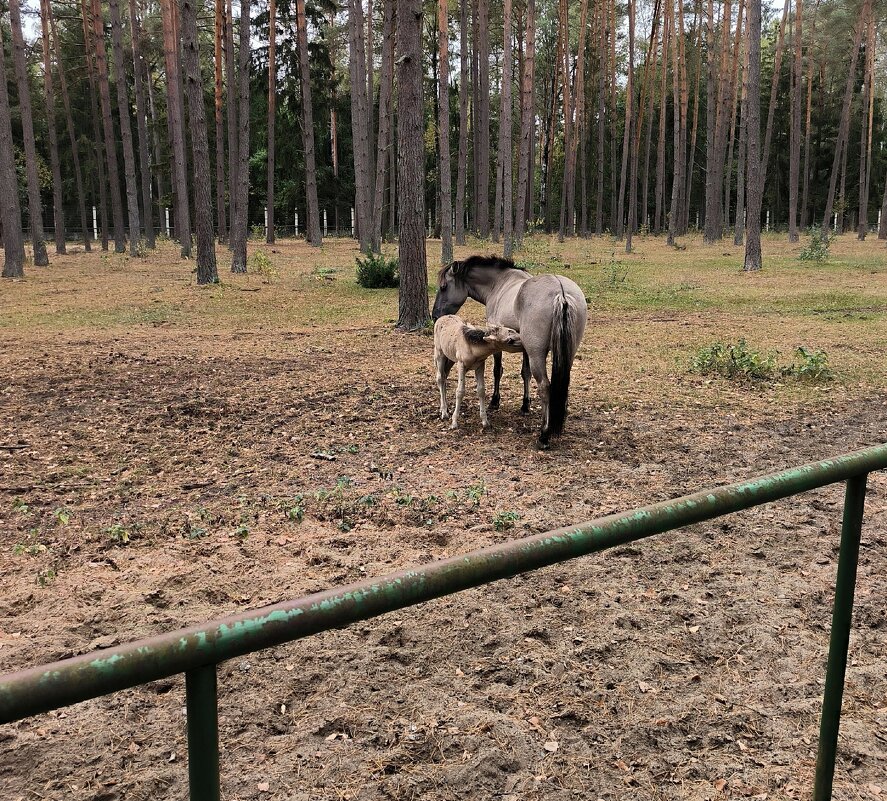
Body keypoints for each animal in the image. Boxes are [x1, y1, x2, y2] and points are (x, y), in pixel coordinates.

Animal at [432, 253, 588, 446]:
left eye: (443, 287)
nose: (435, 315)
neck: (498, 283)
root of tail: (561, 293)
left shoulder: (502, 345)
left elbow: (497, 370)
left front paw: (495, 401)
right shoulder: (526, 350)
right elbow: (525, 373)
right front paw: (525, 404)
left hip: (537, 354)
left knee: (544, 386)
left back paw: (544, 434)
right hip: (567, 354)